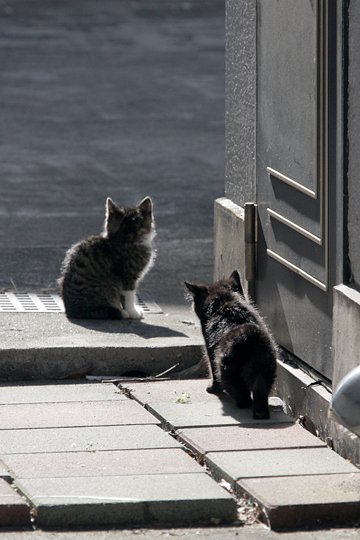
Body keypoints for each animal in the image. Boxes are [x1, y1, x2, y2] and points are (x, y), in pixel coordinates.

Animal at [184, 272, 278, 420]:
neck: (224, 302)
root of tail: (249, 334)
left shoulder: (209, 349)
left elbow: (212, 371)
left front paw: (212, 389)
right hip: (265, 370)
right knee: (260, 393)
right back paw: (261, 413)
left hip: (227, 370)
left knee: (242, 395)